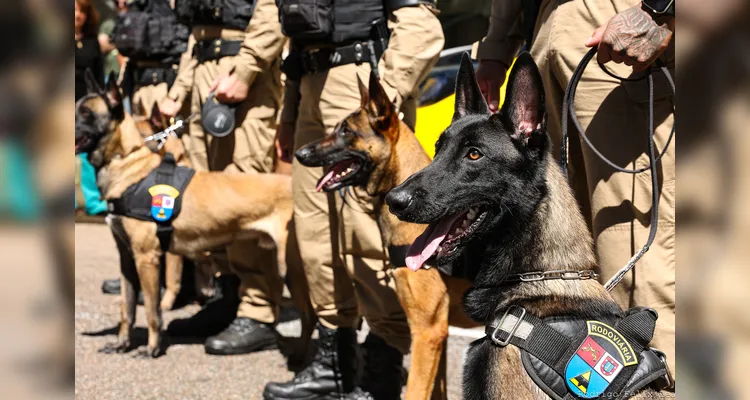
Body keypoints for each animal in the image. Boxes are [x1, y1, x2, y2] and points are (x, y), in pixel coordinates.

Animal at [74, 75, 314, 360]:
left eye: (85, 114)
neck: (129, 163)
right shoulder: (127, 259)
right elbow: (127, 309)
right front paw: (121, 344)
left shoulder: (147, 258)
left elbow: (152, 310)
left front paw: (152, 348)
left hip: (292, 267)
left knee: (311, 314)